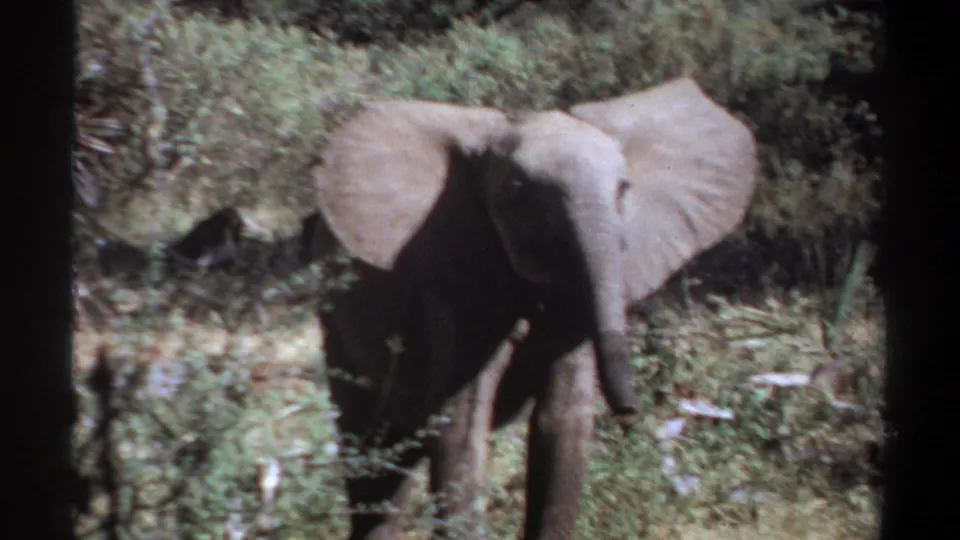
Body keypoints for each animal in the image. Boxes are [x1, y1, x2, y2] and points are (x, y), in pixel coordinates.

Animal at [309, 76, 758, 539]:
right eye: (514, 194)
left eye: (624, 190)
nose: (630, 413)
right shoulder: (452, 289)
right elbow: (461, 435)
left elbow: (561, 427)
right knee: (368, 449)